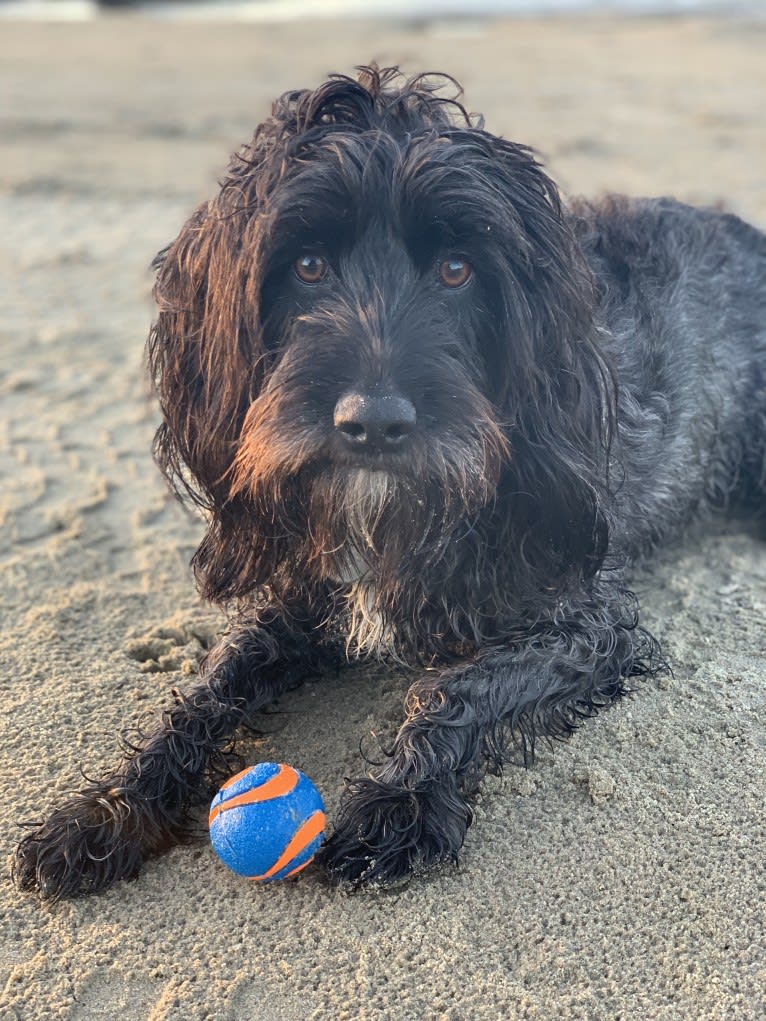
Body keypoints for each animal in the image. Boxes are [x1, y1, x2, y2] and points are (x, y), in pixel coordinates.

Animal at [16, 65, 766, 902]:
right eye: (307, 265)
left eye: (457, 268)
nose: (372, 422)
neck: (388, 516)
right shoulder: (300, 600)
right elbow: (208, 688)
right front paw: (112, 806)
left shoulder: (584, 624)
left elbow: (454, 690)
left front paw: (400, 800)